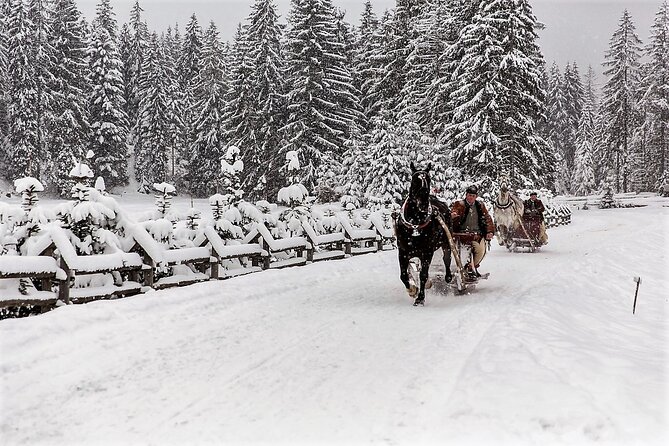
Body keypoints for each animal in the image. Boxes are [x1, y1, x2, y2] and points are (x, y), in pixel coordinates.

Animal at [392, 164, 454, 306]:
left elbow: (423, 275)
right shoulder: (403, 252)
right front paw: (412, 290)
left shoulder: (427, 252)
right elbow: (404, 275)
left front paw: (420, 298)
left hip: (446, 242)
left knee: (447, 258)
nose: (424, 203)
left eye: (429, 180)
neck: (415, 224)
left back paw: (448, 276)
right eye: (415, 180)